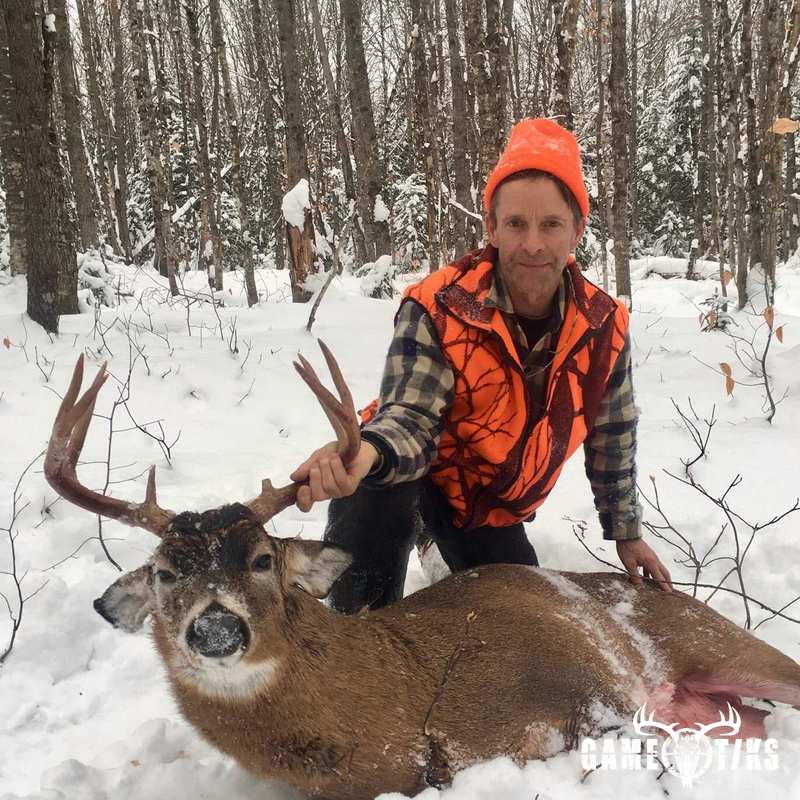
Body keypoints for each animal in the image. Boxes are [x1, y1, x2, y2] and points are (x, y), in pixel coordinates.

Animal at [45, 346, 800, 800]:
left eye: (261, 558)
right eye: (165, 573)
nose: (216, 628)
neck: (403, 710)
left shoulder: (591, 697)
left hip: (720, 643)